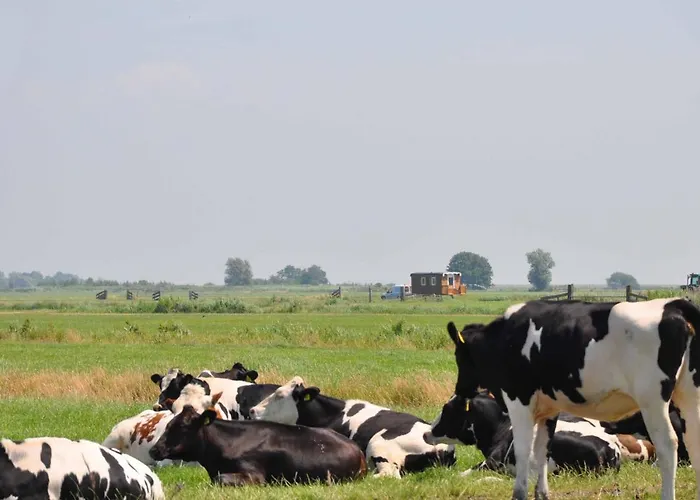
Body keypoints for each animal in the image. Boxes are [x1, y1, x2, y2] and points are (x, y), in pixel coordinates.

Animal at [148, 404, 368, 486]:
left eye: (182, 426)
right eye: (169, 424)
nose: (154, 449)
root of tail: (358, 451)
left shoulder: (254, 476)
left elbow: (220, 479)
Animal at [248, 375, 457, 478]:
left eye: (279, 395)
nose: (252, 410)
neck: (332, 414)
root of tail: (445, 447)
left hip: (379, 444)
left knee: (389, 475)